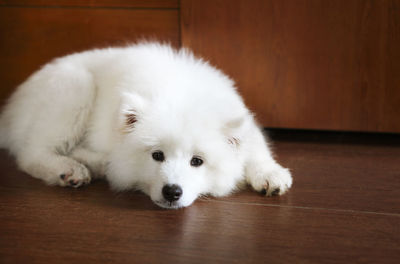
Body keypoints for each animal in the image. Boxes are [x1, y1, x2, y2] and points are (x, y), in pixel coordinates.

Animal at [0, 42, 294, 208]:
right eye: (157, 156)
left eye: (197, 161)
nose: (172, 191)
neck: (182, 96)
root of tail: (12, 106)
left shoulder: (244, 122)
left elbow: (256, 148)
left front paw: (271, 175)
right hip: (74, 87)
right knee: (32, 152)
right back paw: (70, 168)